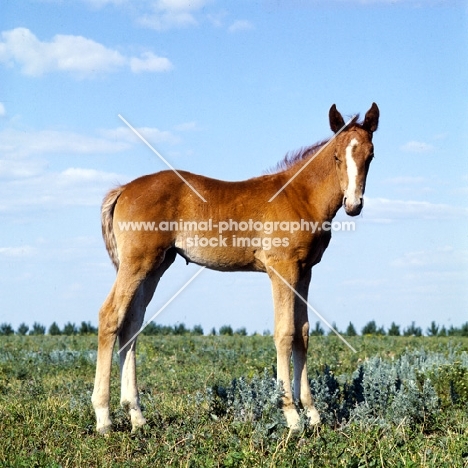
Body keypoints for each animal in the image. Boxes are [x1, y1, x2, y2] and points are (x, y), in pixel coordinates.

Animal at [92, 104, 380, 434]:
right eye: (335, 156)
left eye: (370, 155)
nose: (354, 205)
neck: (300, 196)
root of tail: (123, 189)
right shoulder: (282, 268)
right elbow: (285, 332)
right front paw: (291, 416)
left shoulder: (305, 271)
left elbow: (303, 334)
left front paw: (313, 413)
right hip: (136, 263)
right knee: (110, 316)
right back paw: (103, 417)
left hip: (156, 266)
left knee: (131, 325)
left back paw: (137, 416)